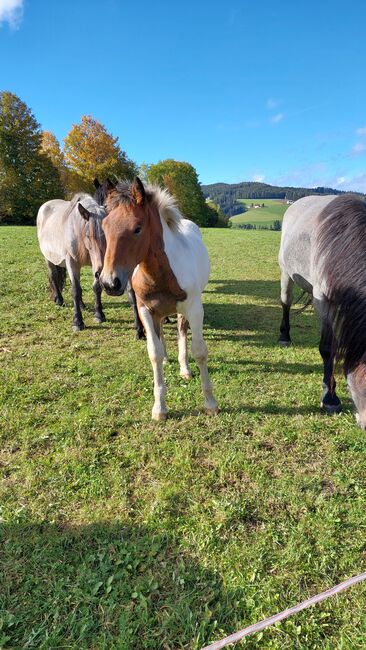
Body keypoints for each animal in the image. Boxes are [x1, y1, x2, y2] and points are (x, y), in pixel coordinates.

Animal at [278, 192, 366, 426]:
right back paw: (284, 336)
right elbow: (327, 348)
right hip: (286, 274)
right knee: (285, 302)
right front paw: (330, 397)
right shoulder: (323, 301)